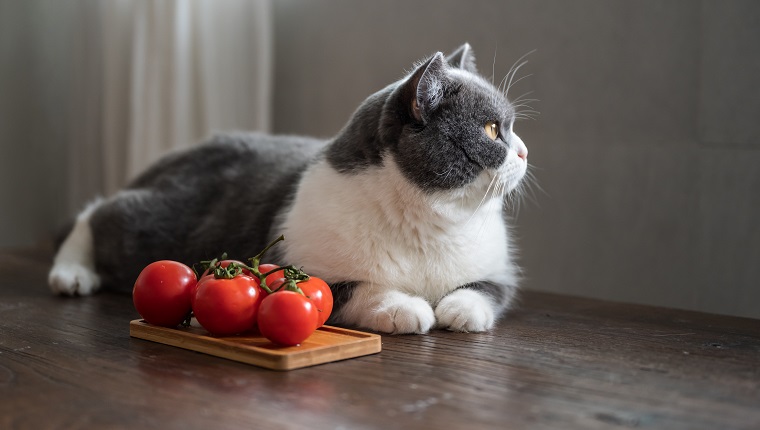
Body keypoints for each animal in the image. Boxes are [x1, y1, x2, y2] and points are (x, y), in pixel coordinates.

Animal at [47, 43, 528, 334]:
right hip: (155, 225)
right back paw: (70, 275)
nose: (523, 151)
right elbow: (353, 289)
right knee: (100, 213)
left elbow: (487, 289)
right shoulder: (299, 266)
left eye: (510, 127)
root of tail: (187, 150)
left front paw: (459, 310)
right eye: (492, 130)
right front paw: (406, 308)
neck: (429, 222)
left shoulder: (499, 270)